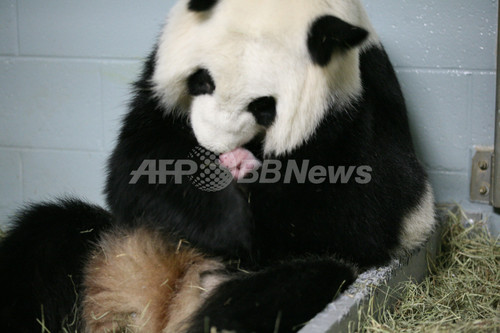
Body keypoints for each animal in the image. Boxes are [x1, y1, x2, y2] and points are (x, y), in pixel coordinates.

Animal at [0, 0, 436, 330]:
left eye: (264, 105)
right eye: (201, 80)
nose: (213, 144)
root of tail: (159, 307)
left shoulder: (360, 105)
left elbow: (360, 210)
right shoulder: (156, 76)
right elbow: (135, 168)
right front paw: (225, 212)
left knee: (285, 290)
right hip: (108, 247)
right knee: (47, 239)